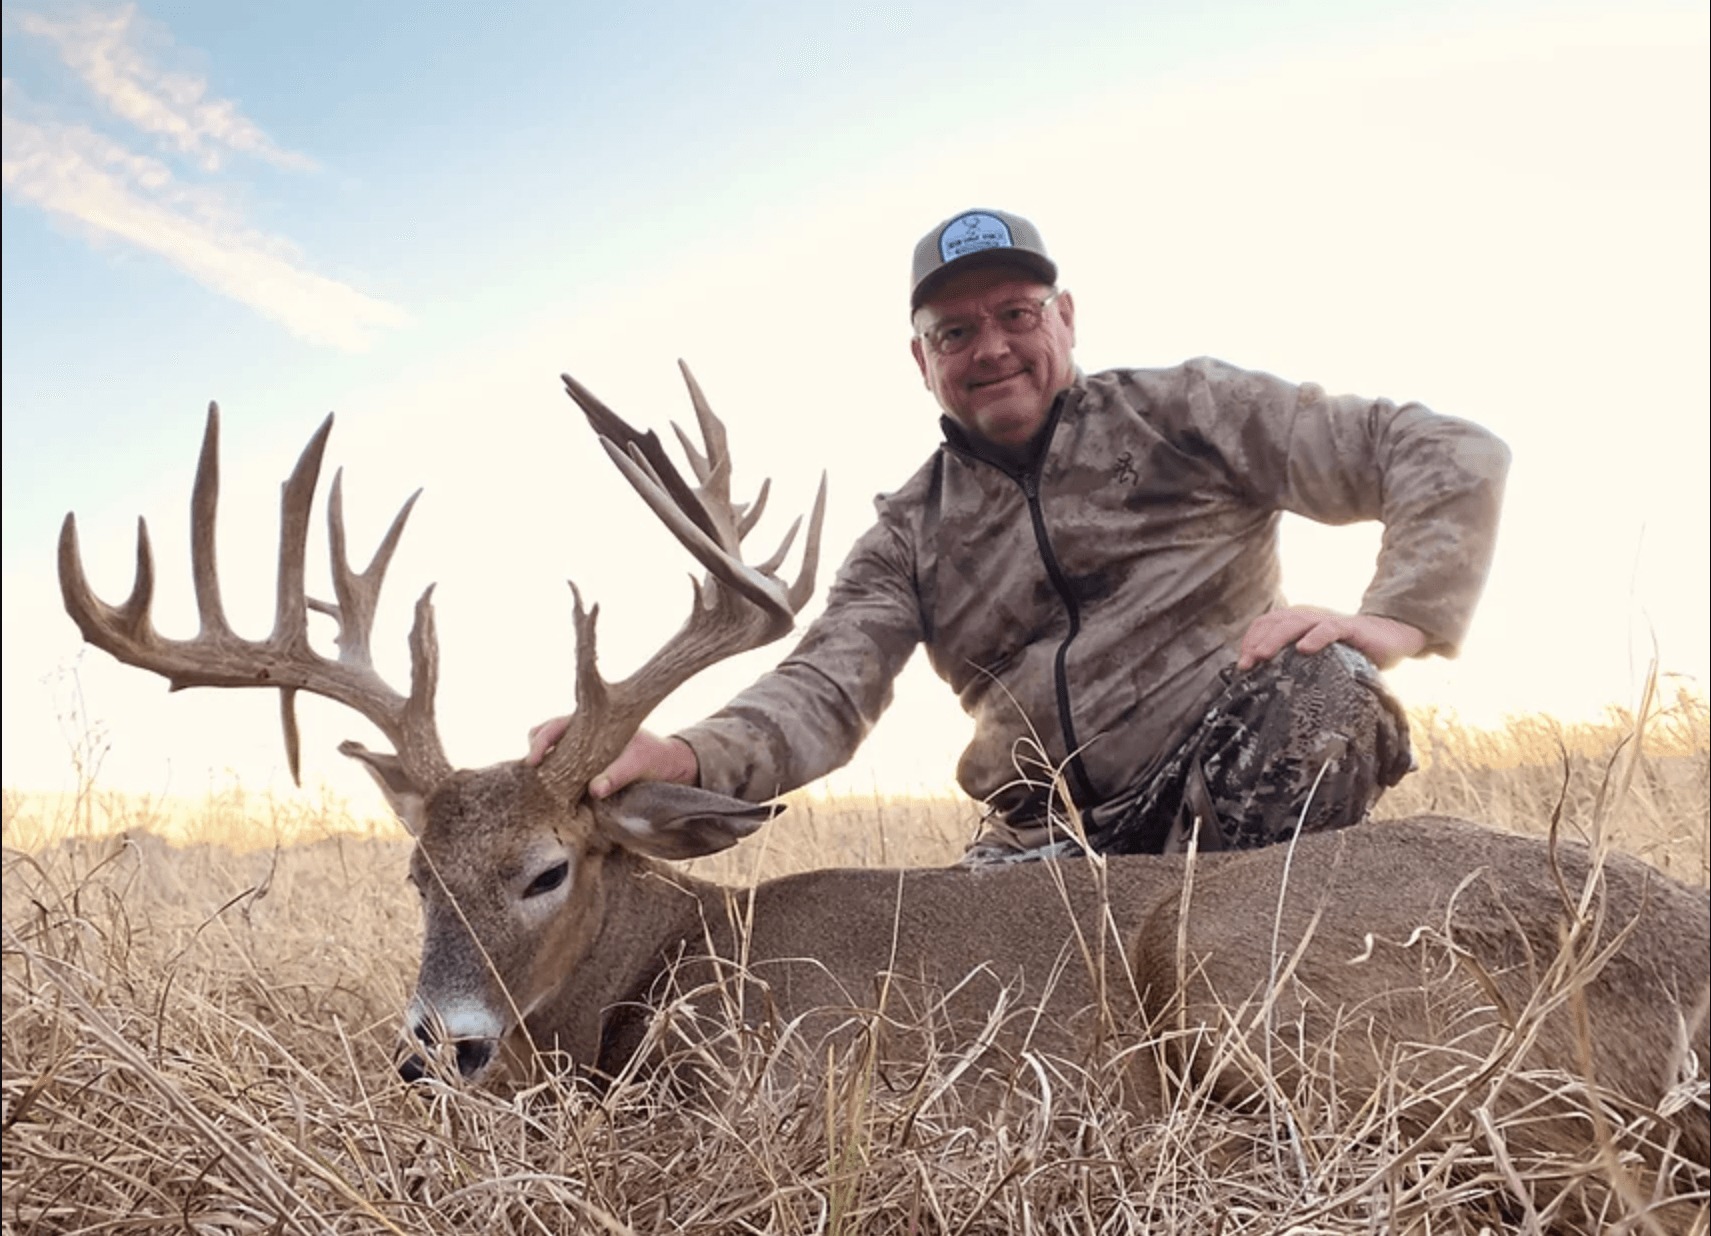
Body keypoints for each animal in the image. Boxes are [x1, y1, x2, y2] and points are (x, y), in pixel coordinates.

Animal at [59, 365, 1709, 1205]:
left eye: (547, 867)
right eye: (417, 873)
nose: (436, 1047)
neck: (667, 971)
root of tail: (1677, 939)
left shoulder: (792, 1080)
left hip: (1270, 975)